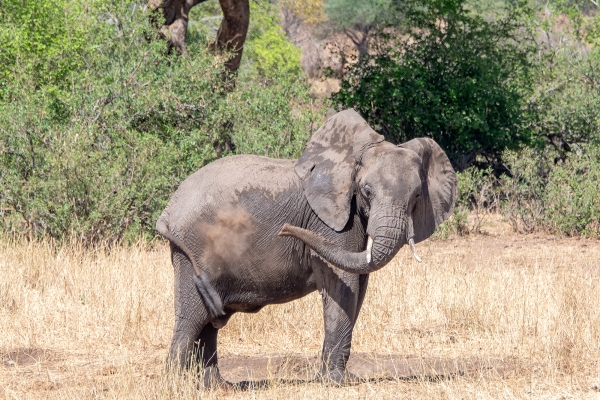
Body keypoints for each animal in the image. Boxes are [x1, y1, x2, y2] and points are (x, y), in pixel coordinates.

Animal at [157, 108, 458, 386]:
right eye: (366, 191)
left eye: (417, 196)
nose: (285, 229)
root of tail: (169, 209)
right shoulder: (329, 222)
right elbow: (343, 286)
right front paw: (335, 382)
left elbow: (358, 289)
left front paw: (335, 378)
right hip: (192, 252)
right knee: (192, 317)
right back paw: (177, 385)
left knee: (207, 322)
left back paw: (215, 386)